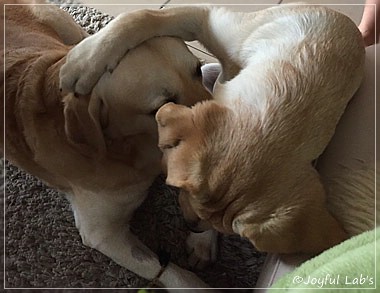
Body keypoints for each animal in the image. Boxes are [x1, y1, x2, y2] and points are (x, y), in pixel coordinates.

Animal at [2, 0, 211, 288]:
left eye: (198, 70)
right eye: (161, 107)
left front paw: (204, 239)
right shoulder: (103, 234)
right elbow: (171, 272)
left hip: (70, 33)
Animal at [60, 4, 366, 253]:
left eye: (233, 232)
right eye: (177, 186)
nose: (191, 226)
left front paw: (202, 243)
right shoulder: (209, 19)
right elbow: (141, 17)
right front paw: (84, 61)